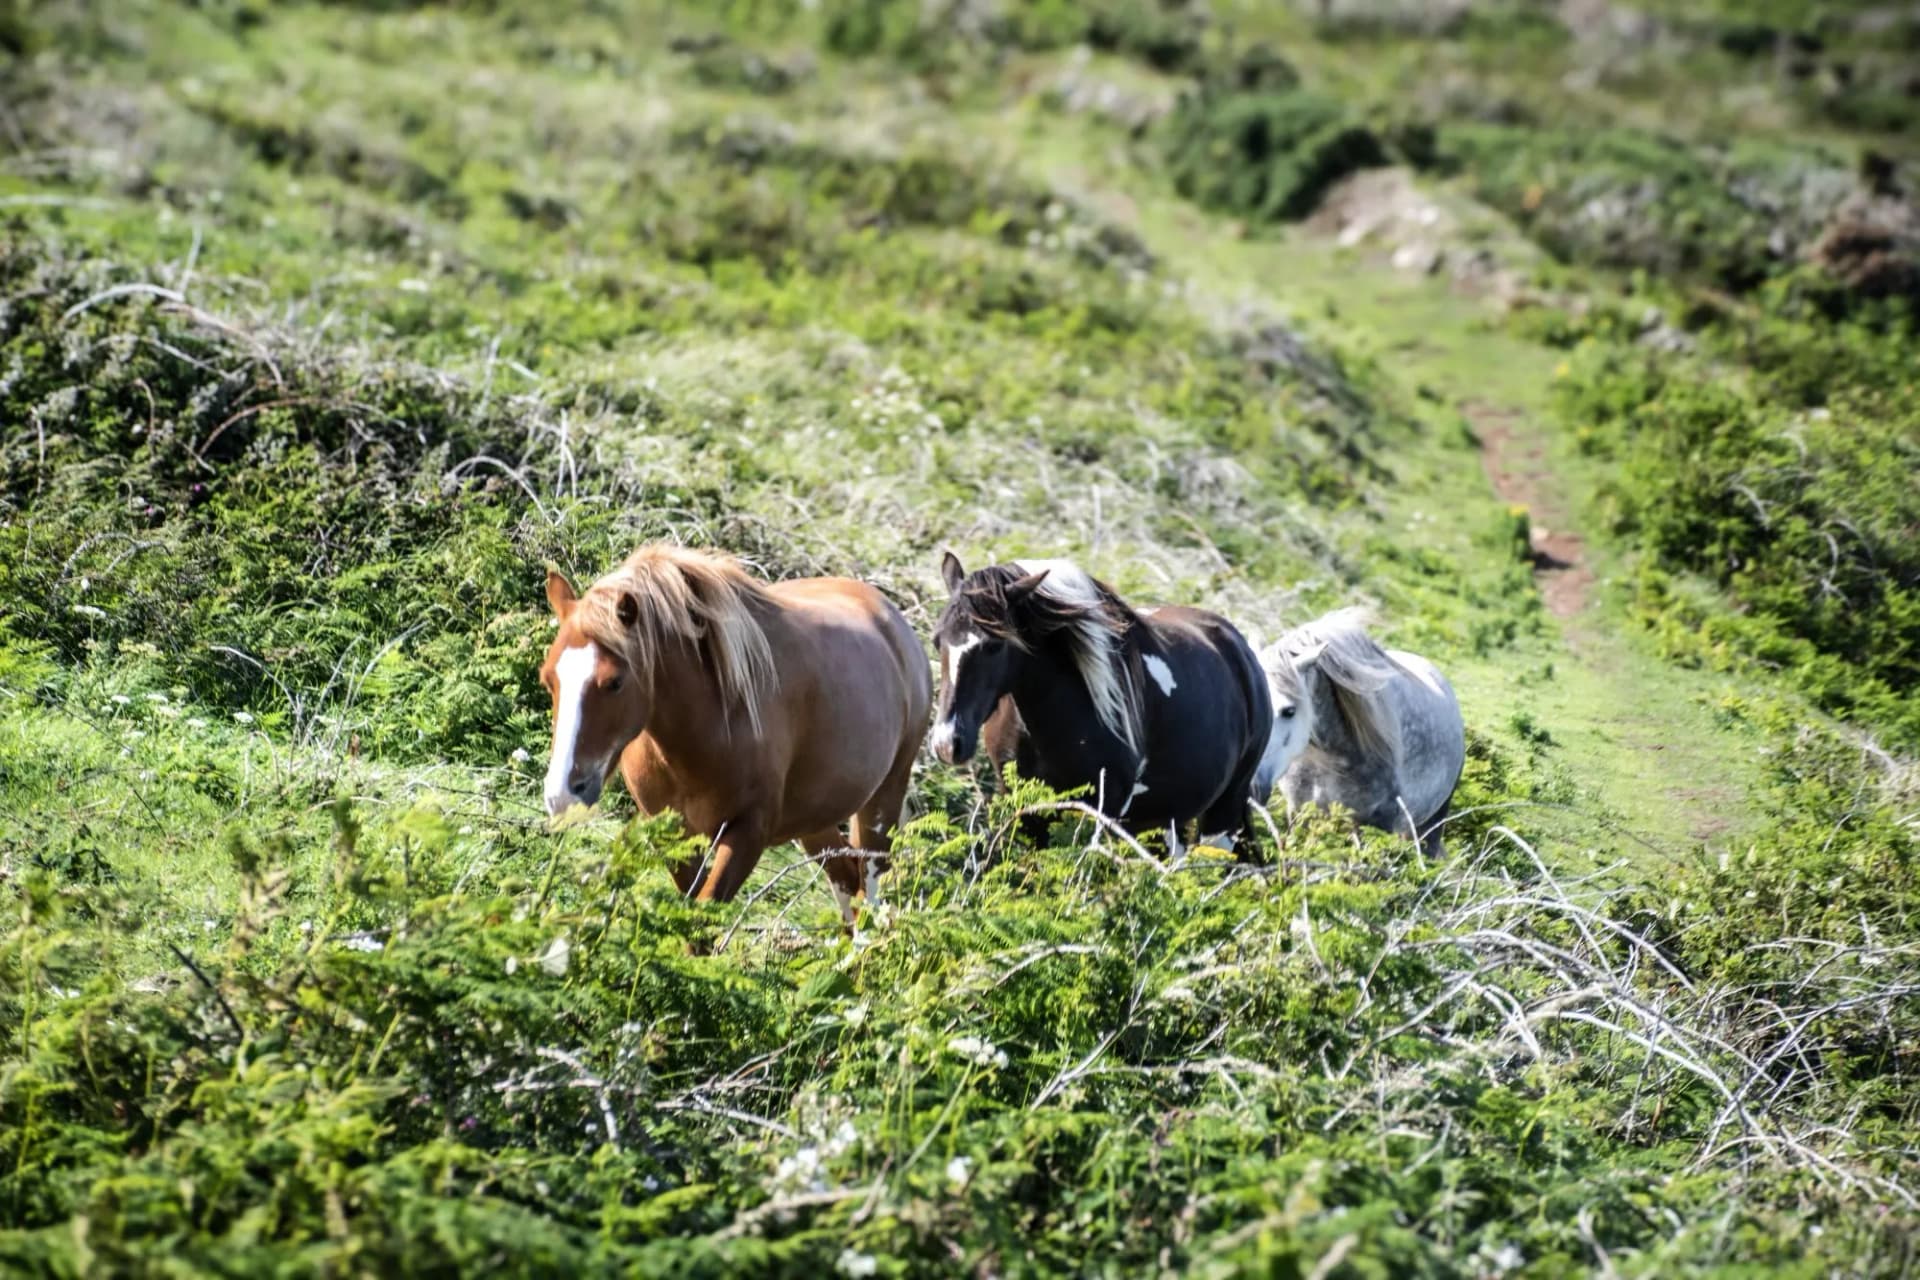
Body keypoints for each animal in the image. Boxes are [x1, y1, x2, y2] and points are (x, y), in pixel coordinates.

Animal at [539, 544, 931, 924]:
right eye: (549, 678)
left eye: (614, 682)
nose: (563, 793)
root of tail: (894, 623)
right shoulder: (674, 833)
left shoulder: (748, 831)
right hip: (814, 820)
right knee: (846, 880)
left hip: (882, 802)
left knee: (869, 890)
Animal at [930, 552, 1272, 849]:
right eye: (937, 641)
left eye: (994, 645)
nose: (947, 743)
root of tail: (1238, 647)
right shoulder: (1027, 807)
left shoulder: (1104, 808)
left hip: (1222, 816)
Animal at [1253, 608, 1465, 857]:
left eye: (1289, 711)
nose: (1251, 784)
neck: (1330, 760)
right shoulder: (1299, 813)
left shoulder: (1378, 825)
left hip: (1430, 825)